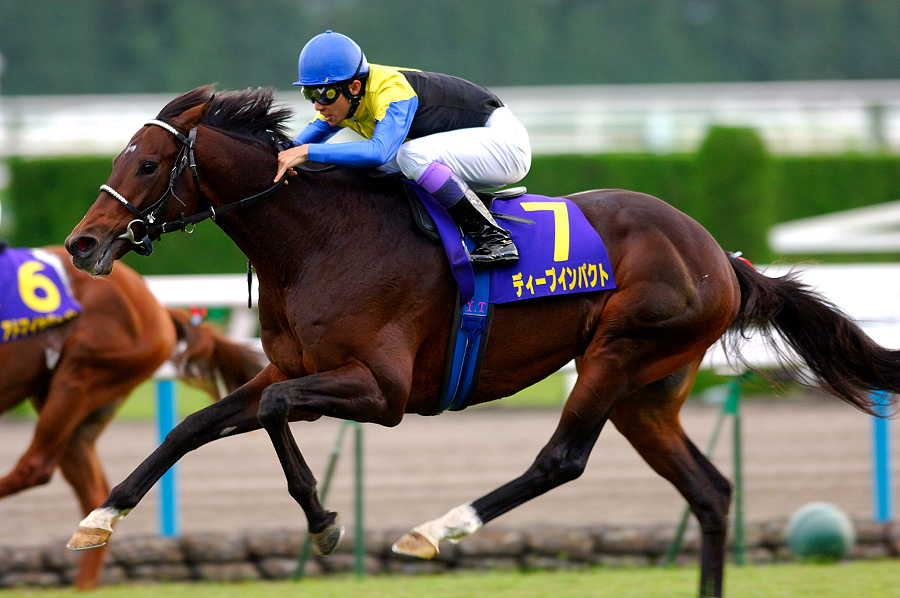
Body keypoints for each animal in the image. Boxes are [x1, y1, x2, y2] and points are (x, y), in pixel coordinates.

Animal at [63, 85, 900, 598]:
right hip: (649, 392)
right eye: (116, 159)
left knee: (561, 459)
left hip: (619, 351)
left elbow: (270, 412)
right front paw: (101, 517)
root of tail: (720, 257)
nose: (81, 245)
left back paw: (438, 529)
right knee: (710, 491)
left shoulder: (383, 390)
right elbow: (198, 424)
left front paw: (325, 523)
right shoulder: (294, 367)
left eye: (146, 163)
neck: (319, 241)